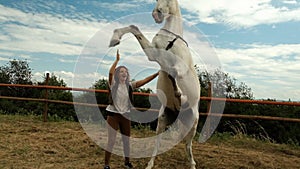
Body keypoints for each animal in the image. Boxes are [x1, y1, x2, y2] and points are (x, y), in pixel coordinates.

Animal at [109, 0, 200, 169]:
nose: (156, 15)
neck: (171, 39)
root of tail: (179, 114)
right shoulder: (154, 54)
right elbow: (134, 28)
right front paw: (114, 39)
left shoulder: (178, 66)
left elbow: (174, 72)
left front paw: (179, 92)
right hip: (162, 121)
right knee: (159, 144)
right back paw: (150, 164)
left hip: (193, 124)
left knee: (188, 145)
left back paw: (192, 164)